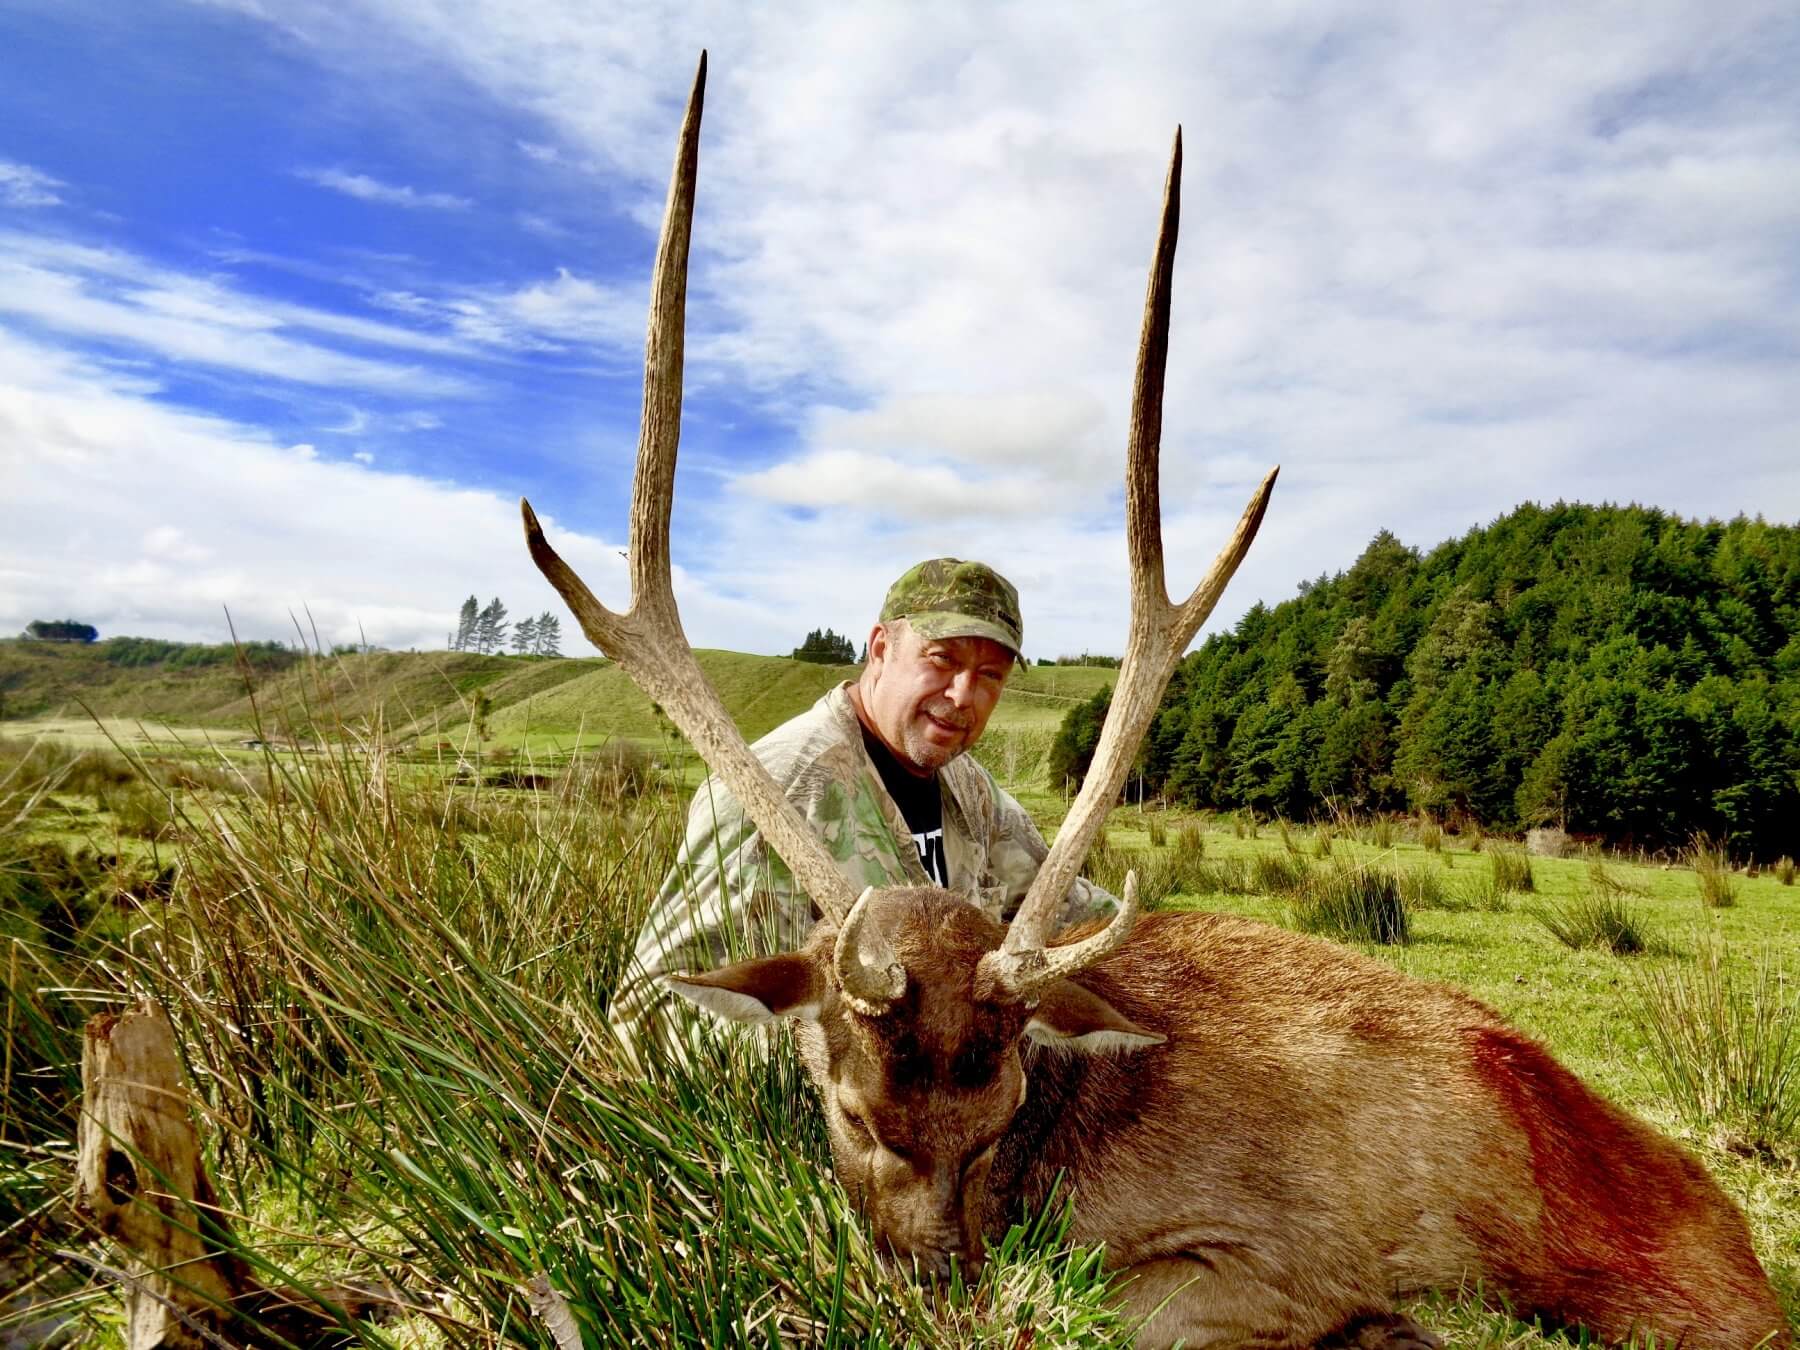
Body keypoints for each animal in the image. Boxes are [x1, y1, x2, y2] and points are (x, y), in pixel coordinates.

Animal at [522, 54, 1792, 1350]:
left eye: (1000, 1117)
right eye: (849, 1111)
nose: (934, 1291)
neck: (1064, 1140)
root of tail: (1741, 1243)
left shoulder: (1271, 1261)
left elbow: (1090, 1297)